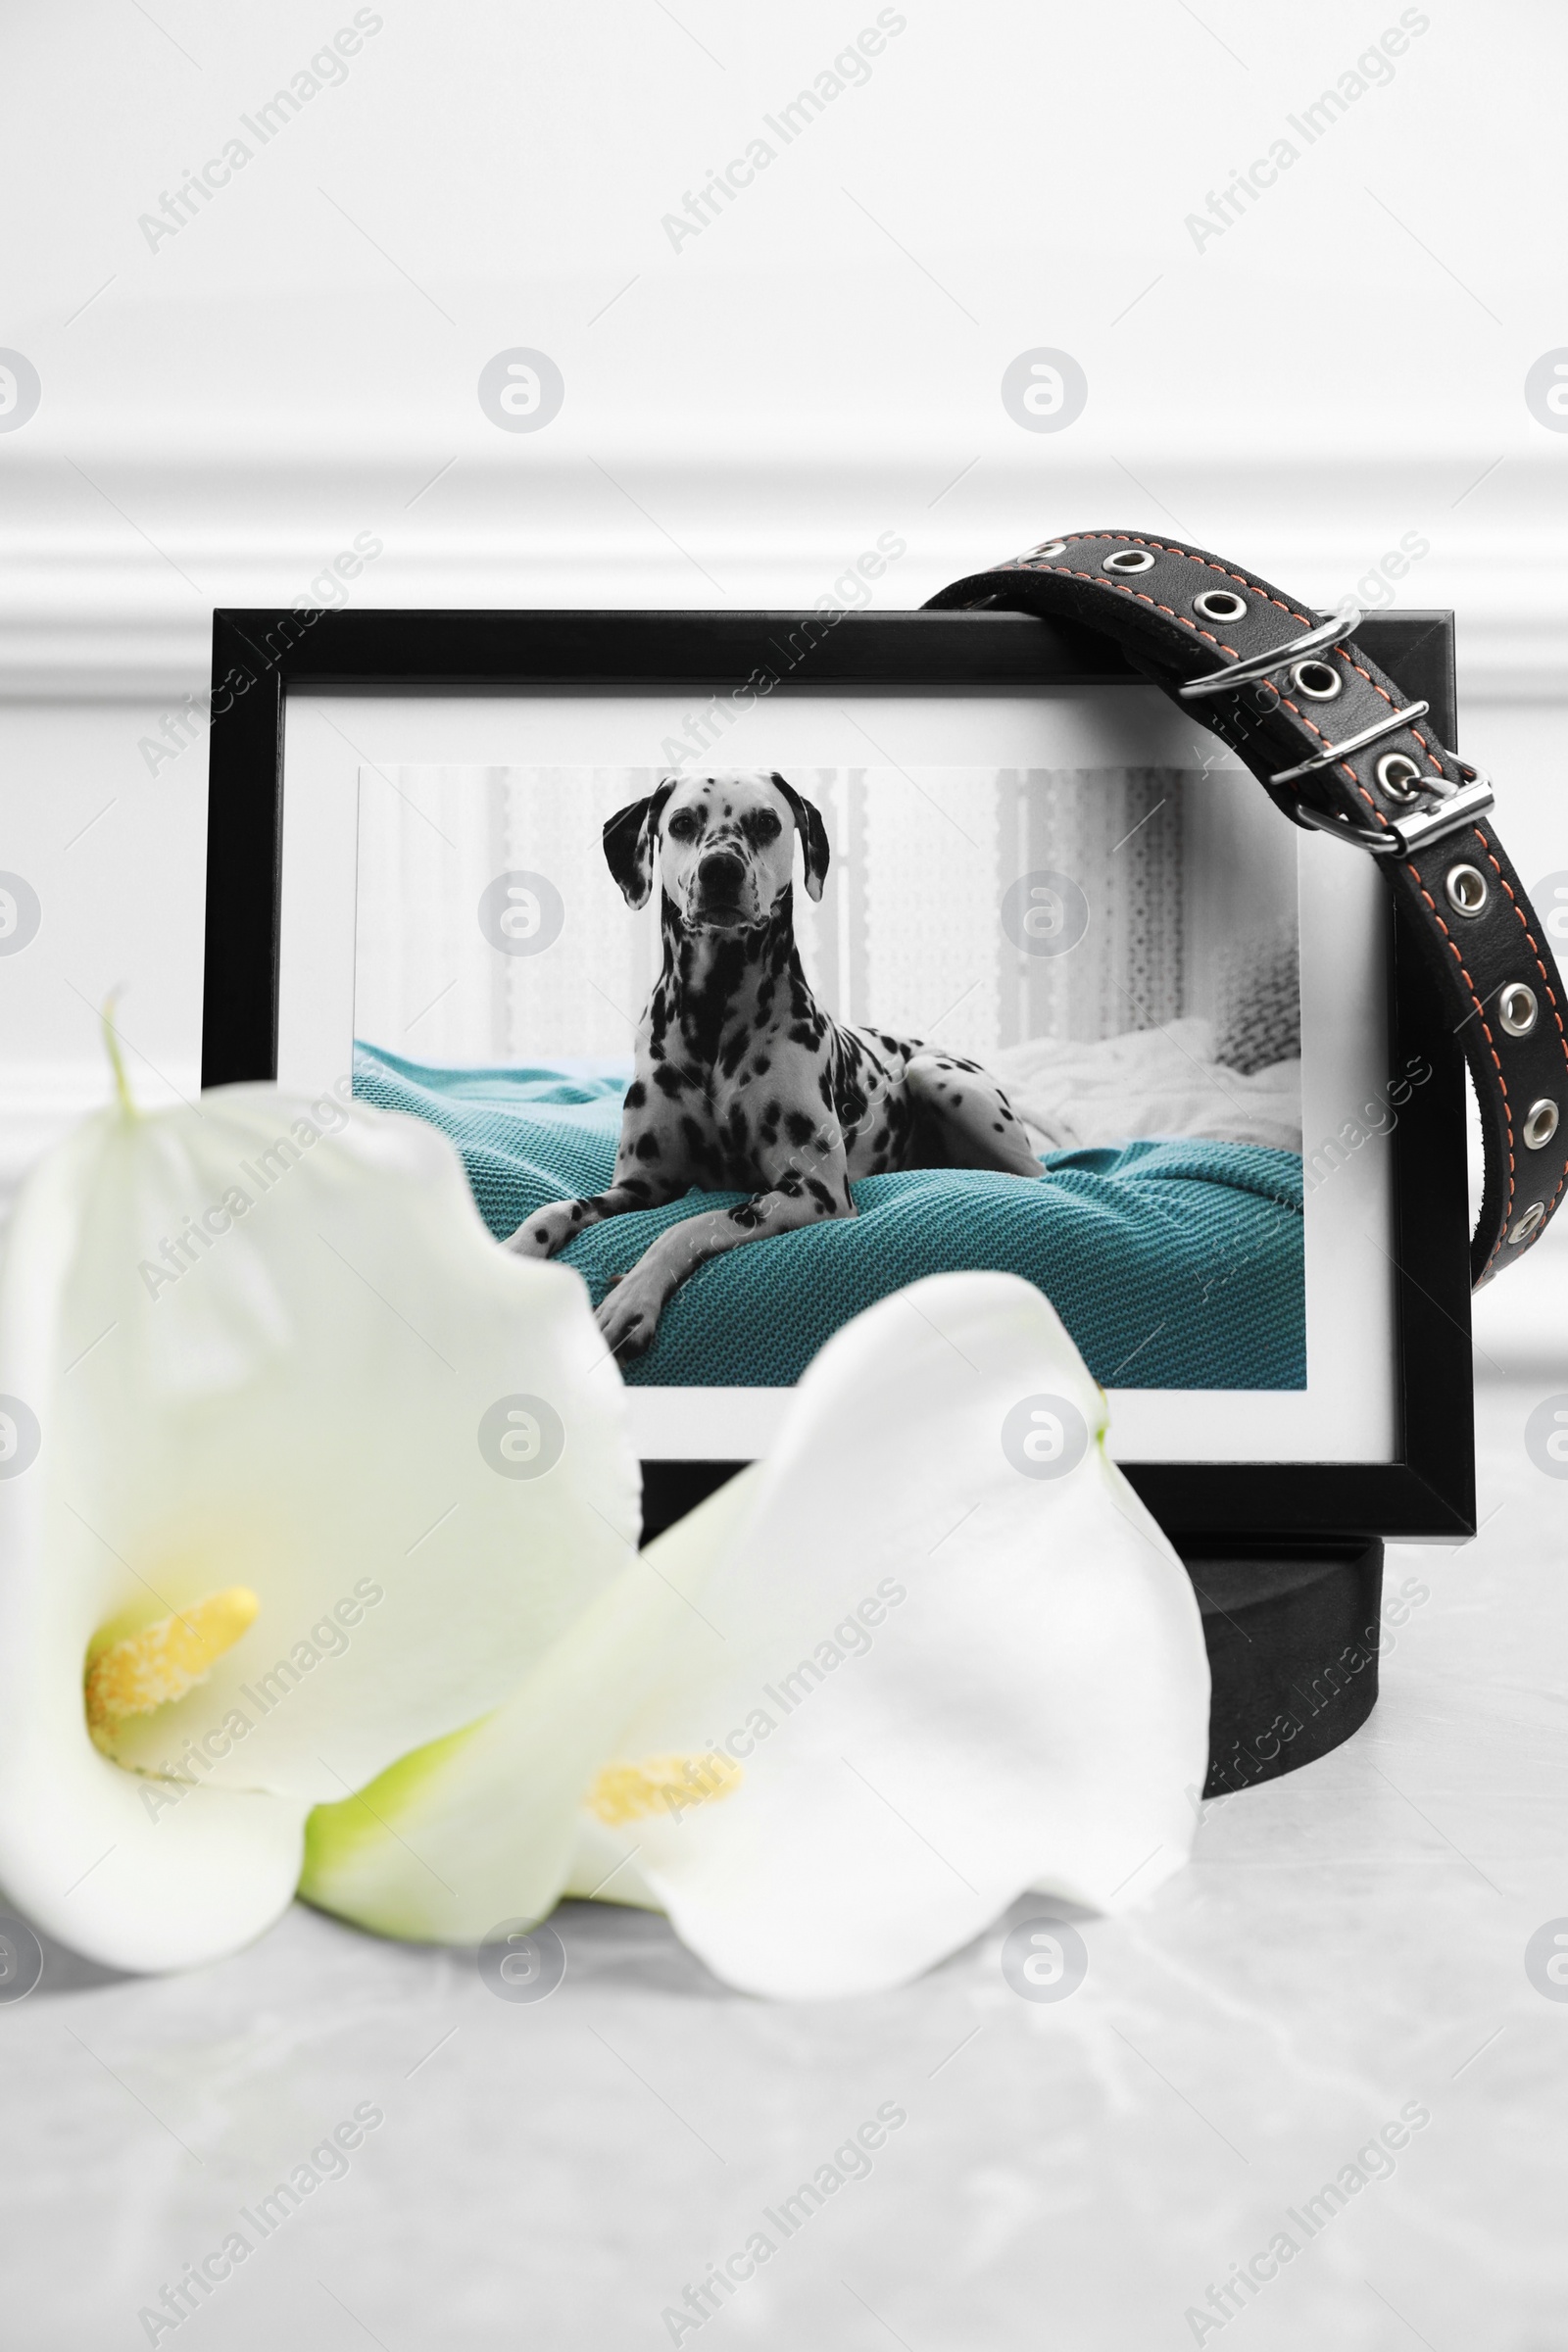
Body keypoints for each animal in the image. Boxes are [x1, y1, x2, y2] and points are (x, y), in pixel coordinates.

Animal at [503, 771, 1044, 1364]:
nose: (720, 869)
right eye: (682, 823)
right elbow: (556, 1209)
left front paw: (632, 1295)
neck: (714, 1014)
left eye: (765, 822)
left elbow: (691, 1224)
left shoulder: (812, 1192)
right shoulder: (641, 1186)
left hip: (939, 1078)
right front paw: (512, 1252)